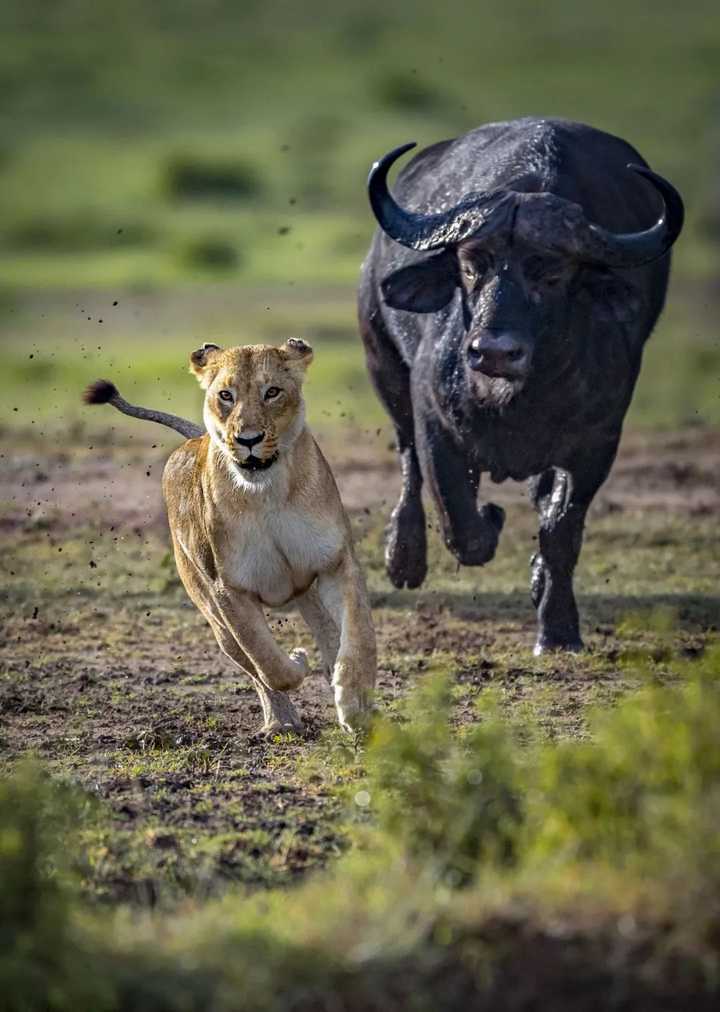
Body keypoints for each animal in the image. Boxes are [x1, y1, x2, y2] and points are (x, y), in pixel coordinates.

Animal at [358, 116, 684, 655]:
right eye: (471, 265)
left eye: (550, 273)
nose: (492, 351)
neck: (514, 399)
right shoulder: (433, 420)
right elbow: (459, 522)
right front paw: (489, 519)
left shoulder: (597, 444)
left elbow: (561, 533)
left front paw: (558, 629)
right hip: (382, 364)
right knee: (407, 459)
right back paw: (403, 557)